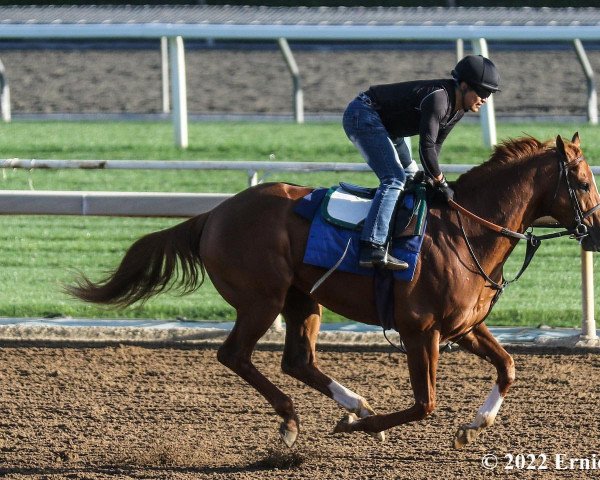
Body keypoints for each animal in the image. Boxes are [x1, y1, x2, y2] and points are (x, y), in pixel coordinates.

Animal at [68, 132, 600, 450]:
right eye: (582, 181)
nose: (595, 233)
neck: (465, 230)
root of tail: (213, 214)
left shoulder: (465, 326)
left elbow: (508, 366)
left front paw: (473, 425)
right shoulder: (419, 330)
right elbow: (424, 403)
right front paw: (368, 427)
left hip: (303, 300)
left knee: (296, 360)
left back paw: (352, 405)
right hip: (262, 300)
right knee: (235, 355)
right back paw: (293, 421)